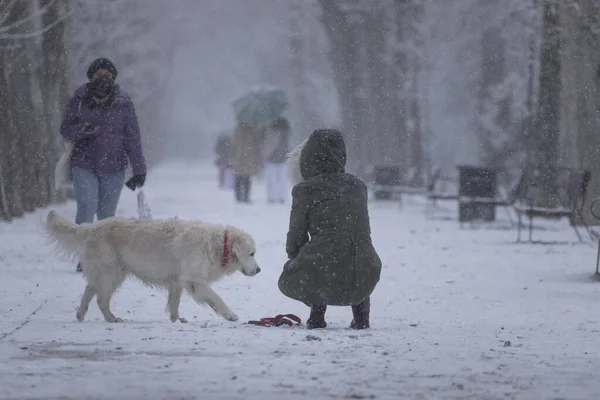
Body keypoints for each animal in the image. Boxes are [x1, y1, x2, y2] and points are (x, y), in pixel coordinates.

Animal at [44, 211, 260, 324]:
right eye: (252, 253)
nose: (258, 271)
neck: (218, 244)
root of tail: (89, 227)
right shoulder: (194, 281)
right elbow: (216, 298)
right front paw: (230, 315)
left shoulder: (177, 281)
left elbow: (174, 303)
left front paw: (176, 320)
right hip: (110, 273)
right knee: (101, 299)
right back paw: (112, 318)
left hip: (107, 272)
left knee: (90, 290)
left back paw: (81, 314)